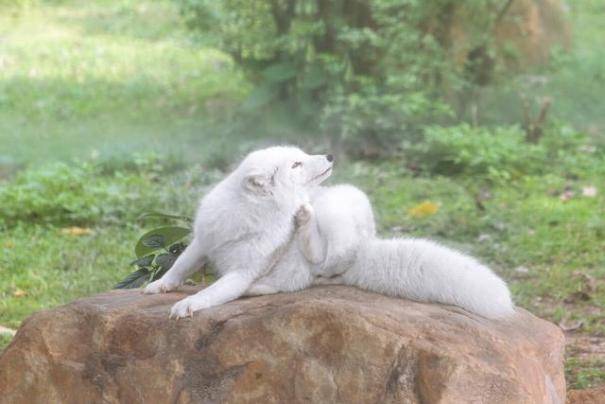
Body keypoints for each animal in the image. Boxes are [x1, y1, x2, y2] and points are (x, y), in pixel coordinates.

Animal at [144, 147, 512, 320]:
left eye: (302, 155)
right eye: (295, 164)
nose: (331, 155)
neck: (250, 216)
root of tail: (368, 246)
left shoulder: (243, 270)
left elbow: (213, 292)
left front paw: (188, 304)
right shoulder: (204, 241)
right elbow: (181, 265)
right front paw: (159, 286)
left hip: (336, 207)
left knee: (325, 261)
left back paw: (303, 223)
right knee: (311, 278)